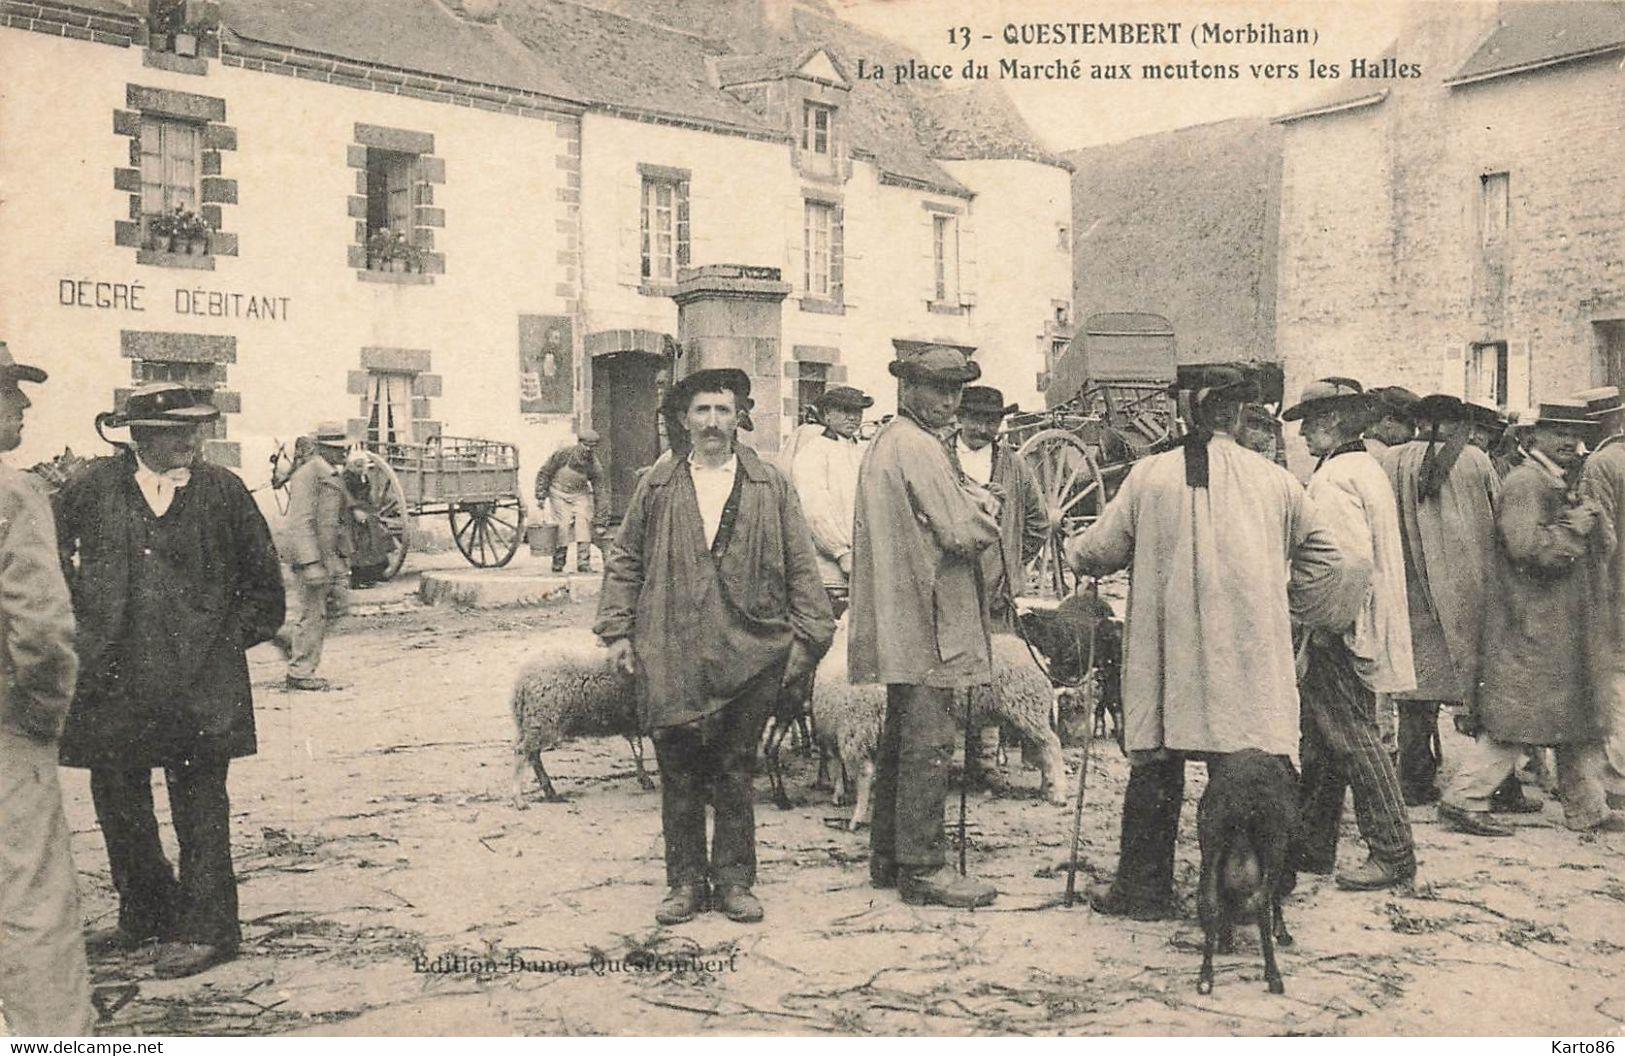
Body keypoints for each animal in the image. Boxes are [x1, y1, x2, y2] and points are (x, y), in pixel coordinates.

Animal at [513, 623, 653, 805]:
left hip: (529, 724)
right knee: (523, 752)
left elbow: (638, 750)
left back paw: (549, 791)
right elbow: (640, 750)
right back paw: (519, 799)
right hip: (542, 721)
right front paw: (646, 780)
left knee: (532, 755)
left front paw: (644, 778)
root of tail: (522, 684)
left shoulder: (632, 723)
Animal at [812, 617, 1066, 831]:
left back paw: (1059, 793)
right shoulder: (832, 730)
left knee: (1052, 745)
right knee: (1042, 748)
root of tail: (1036, 655)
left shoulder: (849, 728)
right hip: (1021, 712)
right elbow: (835, 765)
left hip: (1026, 708)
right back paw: (1046, 788)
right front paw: (838, 794)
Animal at [1189, 744, 1300, 994]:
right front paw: (1282, 933)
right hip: (1272, 844)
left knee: (1210, 902)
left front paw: (1226, 940)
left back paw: (1205, 978)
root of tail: (1239, 798)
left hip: (1211, 843)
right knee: (1261, 901)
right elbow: (1275, 895)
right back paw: (1274, 978)